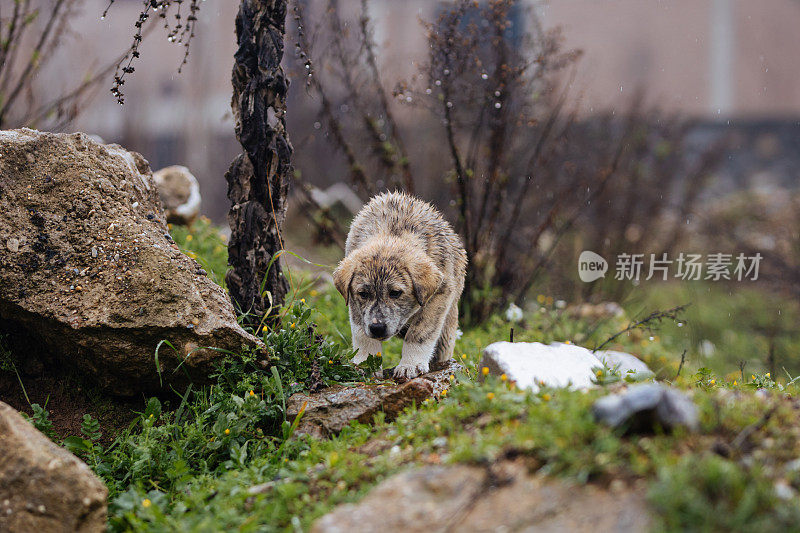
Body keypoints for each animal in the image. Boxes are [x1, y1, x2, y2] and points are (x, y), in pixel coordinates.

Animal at [332, 191, 468, 378]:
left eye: (395, 293)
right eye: (364, 294)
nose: (377, 328)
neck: (392, 232)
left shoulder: (440, 295)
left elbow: (420, 332)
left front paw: (410, 365)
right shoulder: (354, 304)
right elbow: (361, 333)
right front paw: (366, 363)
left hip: (447, 331)